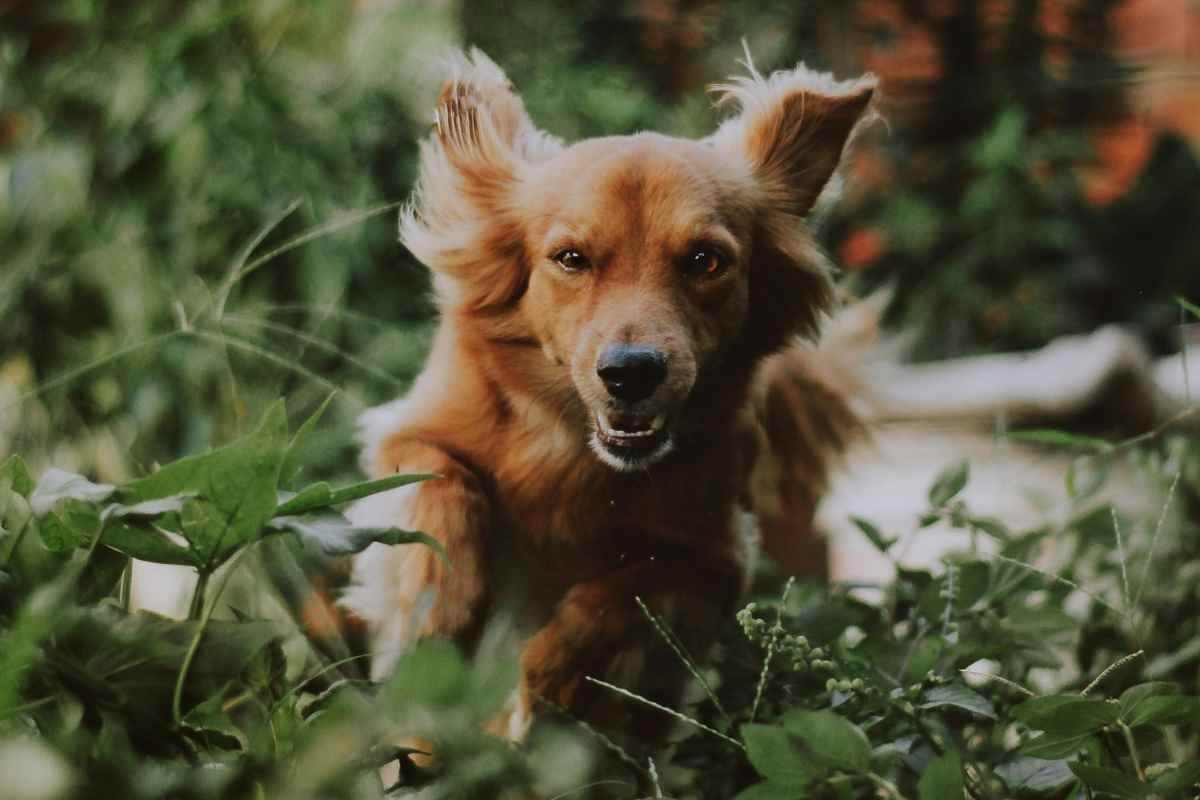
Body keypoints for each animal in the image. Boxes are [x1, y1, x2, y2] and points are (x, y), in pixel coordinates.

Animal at [343, 50, 878, 748]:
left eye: (706, 261)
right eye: (571, 258)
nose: (631, 372)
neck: (575, 456)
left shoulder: (717, 555)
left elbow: (627, 590)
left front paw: (550, 674)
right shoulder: (407, 432)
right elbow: (444, 480)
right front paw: (442, 600)